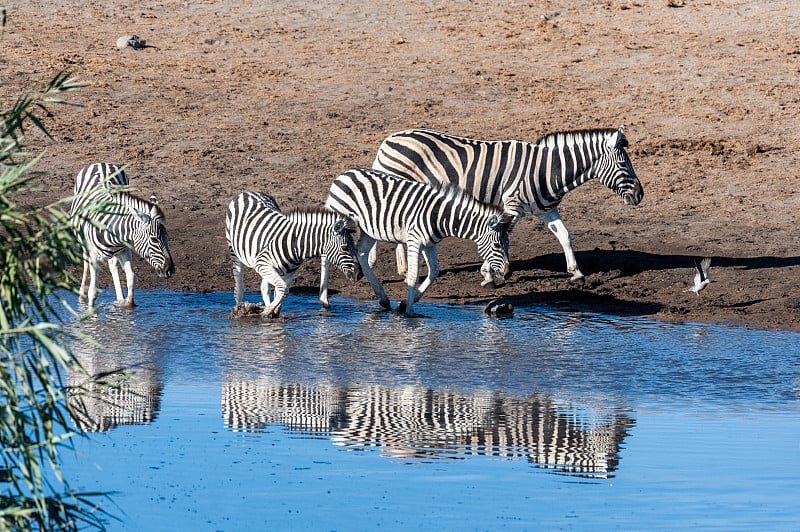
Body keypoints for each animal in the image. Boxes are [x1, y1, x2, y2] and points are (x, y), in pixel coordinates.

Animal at [70, 164, 175, 310]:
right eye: (154, 239)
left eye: (167, 238)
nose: (170, 270)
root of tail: (101, 163)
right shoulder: (94, 257)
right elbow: (93, 290)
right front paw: (90, 311)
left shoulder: (125, 251)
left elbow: (131, 278)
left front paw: (127, 305)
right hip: (85, 244)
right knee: (86, 264)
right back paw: (81, 296)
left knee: (113, 266)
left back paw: (119, 299)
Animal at [227, 191, 360, 318]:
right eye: (345, 248)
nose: (358, 275)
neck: (295, 244)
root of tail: (248, 192)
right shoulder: (262, 263)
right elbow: (282, 290)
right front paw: (265, 311)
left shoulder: (289, 272)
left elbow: (283, 292)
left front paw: (273, 312)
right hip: (235, 253)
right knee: (239, 286)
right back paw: (239, 307)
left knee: (264, 287)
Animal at [322, 168, 510, 316]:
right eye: (497, 245)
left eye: (508, 245)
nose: (507, 273)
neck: (440, 216)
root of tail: (344, 174)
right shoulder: (414, 241)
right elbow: (413, 276)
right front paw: (410, 313)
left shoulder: (430, 244)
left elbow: (433, 273)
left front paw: (405, 303)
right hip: (338, 221)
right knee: (327, 255)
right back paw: (324, 301)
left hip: (369, 230)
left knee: (361, 253)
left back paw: (383, 298)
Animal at [374, 125, 644, 282]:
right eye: (623, 164)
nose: (640, 195)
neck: (547, 171)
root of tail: (389, 138)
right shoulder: (511, 206)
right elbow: (499, 236)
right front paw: (491, 272)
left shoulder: (547, 210)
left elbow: (565, 236)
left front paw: (576, 273)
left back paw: (403, 267)